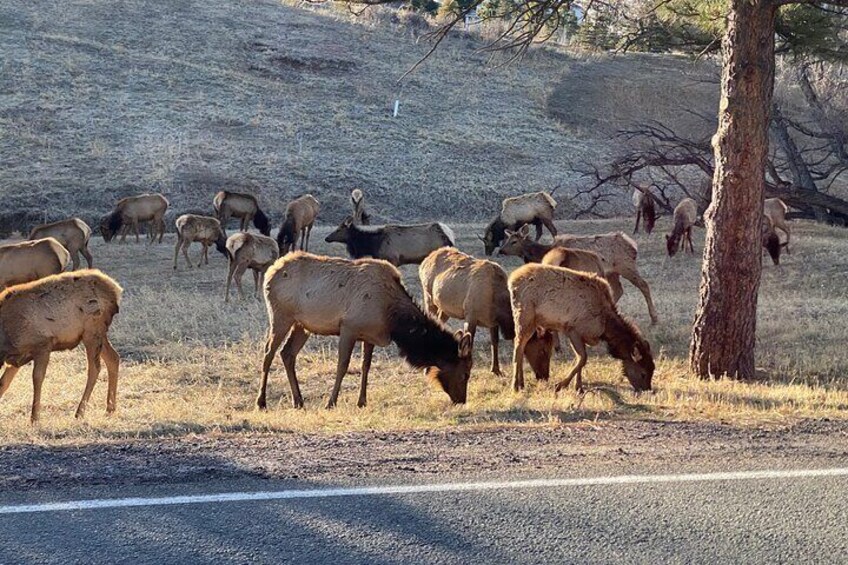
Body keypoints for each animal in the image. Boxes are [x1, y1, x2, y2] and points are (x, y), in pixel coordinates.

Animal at [0, 270, 121, 424]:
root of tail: (116, 290)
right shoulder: (17, 358)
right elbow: (3, 383)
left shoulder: (43, 345)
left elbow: (37, 378)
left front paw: (35, 418)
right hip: (97, 334)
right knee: (113, 358)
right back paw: (110, 408)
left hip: (92, 331)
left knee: (95, 368)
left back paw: (80, 412)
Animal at [260, 250, 470, 406]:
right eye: (465, 374)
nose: (461, 400)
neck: (393, 319)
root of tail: (270, 272)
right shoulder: (348, 328)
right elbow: (343, 365)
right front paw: (331, 402)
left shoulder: (369, 336)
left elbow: (365, 366)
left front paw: (362, 401)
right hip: (280, 316)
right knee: (269, 352)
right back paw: (261, 402)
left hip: (302, 325)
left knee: (287, 353)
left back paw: (299, 400)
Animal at [500, 225, 660, 322]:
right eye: (506, 239)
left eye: (514, 241)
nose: (501, 250)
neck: (542, 253)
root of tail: (632, 245)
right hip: (612, 272)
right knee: (618, 289)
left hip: (626, 266)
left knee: (643, 285)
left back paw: (654, 318)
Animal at [506, 264, 652, 392]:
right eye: (643, 373)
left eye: (653, 369)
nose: (647, 390)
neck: (605, 327)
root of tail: (512, 279)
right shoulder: (573, 330)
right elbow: (582, 359)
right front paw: (561, 385)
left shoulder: (582, 336)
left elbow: (580, 359)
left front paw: (578, 387)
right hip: (524, 317)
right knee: (518, 346)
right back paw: (515, 385)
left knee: (522, 347)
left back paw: (521, 383)